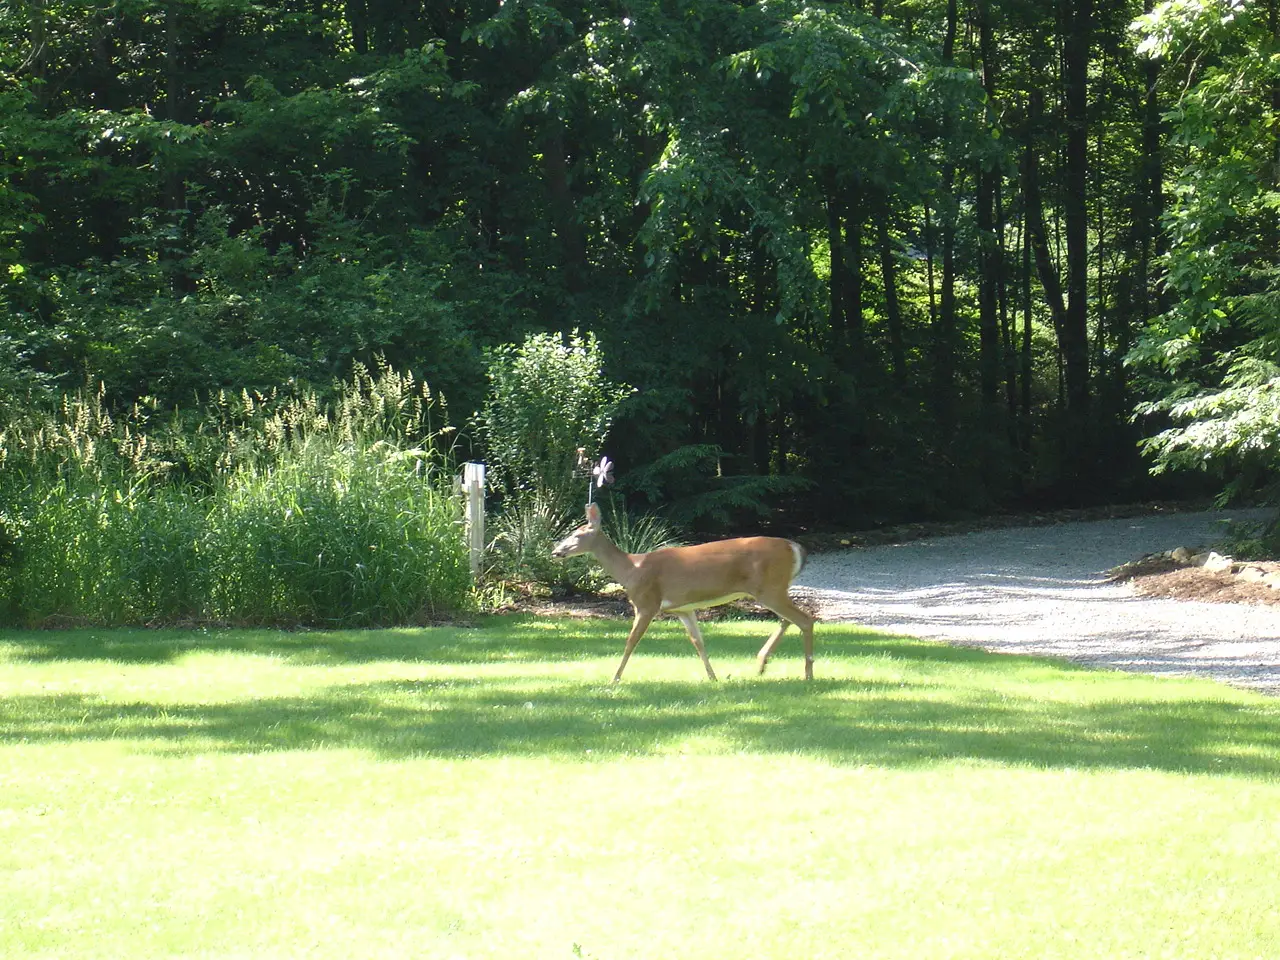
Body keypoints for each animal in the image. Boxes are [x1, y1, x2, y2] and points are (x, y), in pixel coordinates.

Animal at [547, 504, 808, 686]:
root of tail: (796, 548)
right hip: (774, 589)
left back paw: (807, 673)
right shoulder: (683, 608)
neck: (631, 569)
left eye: (577, 535)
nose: (556, 551)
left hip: (770, 588)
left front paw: (614, 679)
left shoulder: (647, 603)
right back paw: (762, 663)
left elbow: (631, 641)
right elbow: (698, 642)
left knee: (805, 619)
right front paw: (713, 677)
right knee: (789, 619)